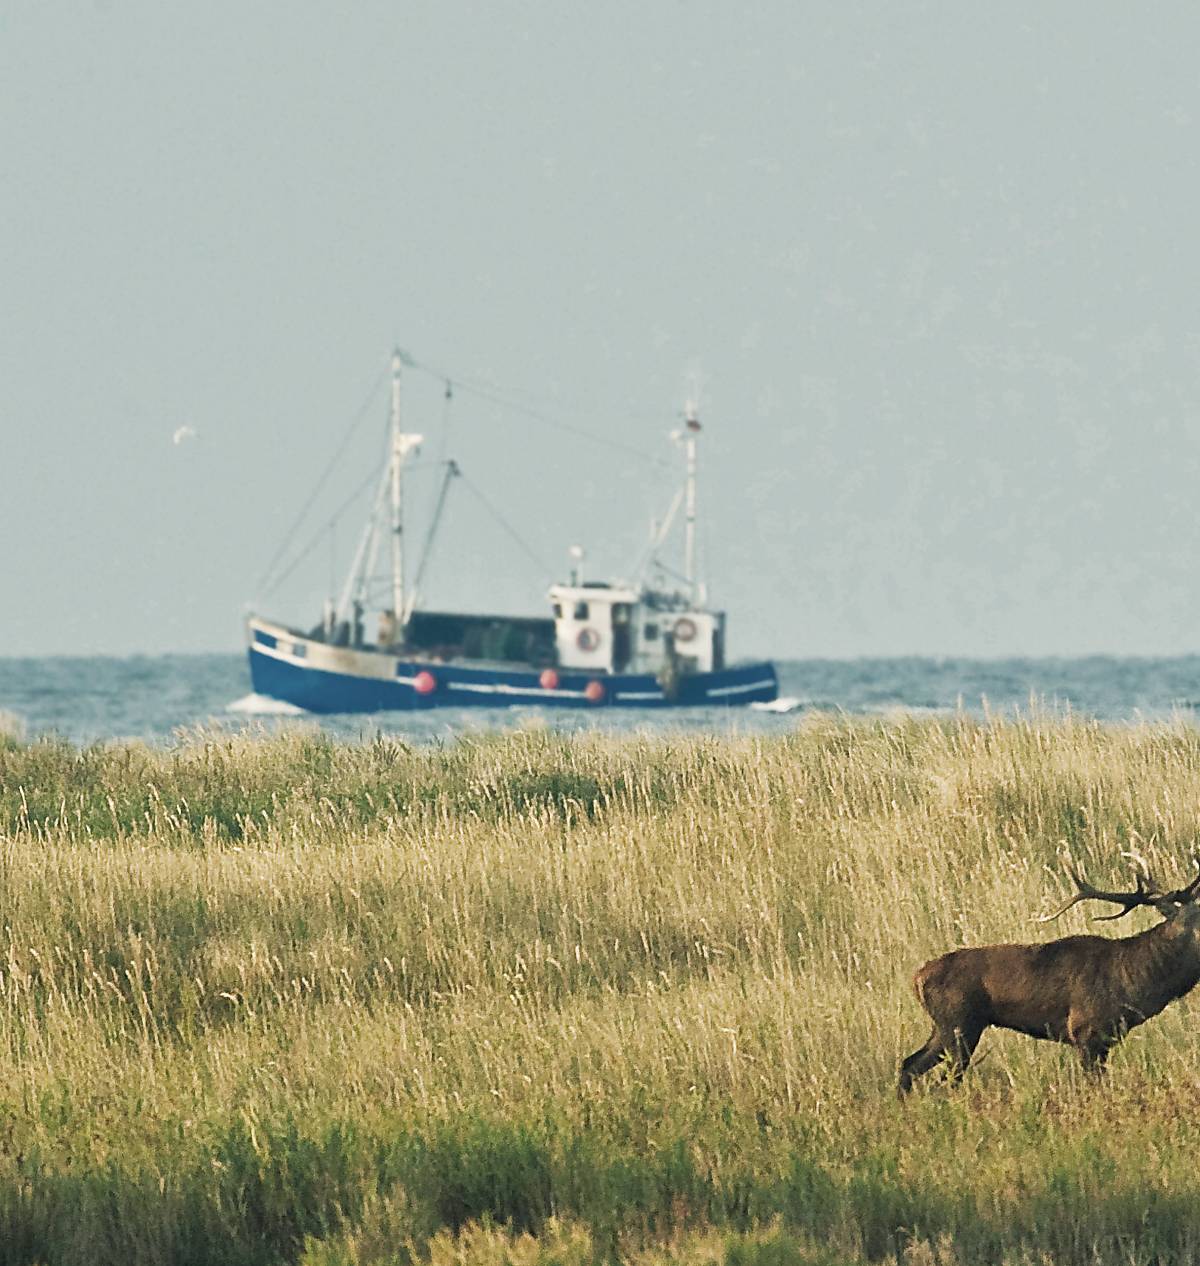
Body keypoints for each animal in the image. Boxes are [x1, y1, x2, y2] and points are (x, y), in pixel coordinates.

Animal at [898, 855, 1200, 1095]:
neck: (1134, 983)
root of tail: (917, 979)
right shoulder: (1085, 1031)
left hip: (945, 1027)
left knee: (909, 1064)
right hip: (959, 1023)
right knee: (944, 1079)